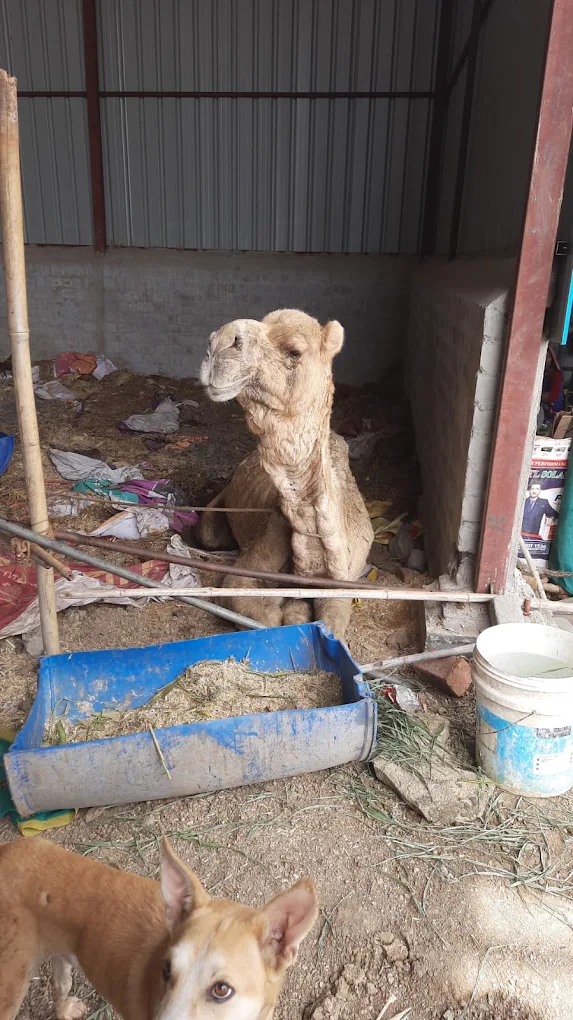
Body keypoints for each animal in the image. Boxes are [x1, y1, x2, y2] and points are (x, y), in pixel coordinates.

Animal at [198, 308, 374, 638]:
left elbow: (333, 621)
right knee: (210, 535)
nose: (218, 343)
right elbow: (261, 615)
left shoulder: (343, 584)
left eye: (295, 351)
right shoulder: (247, 567)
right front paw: (286, 610)